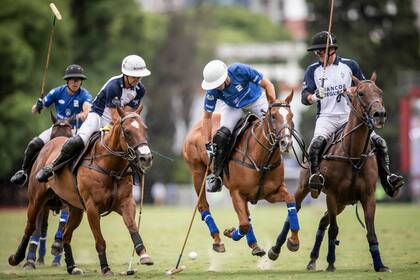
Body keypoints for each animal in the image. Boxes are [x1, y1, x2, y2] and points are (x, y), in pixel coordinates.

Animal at [9, 105, 153, 276]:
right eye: (128, 131)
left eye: (145, 129)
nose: (146, 158)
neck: (110, 167)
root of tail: (51, 142)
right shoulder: (92, 208)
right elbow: (100, 240)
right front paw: (105, 268)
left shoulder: (126, 203)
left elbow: (133, 227)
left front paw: (144, 254)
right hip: (36, 200)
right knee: (31, 227)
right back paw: (17, 258)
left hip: (75, 209)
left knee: (66, 235)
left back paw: (72, 267)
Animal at [183, 91, 298, 256]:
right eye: (273, 116)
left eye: (291, 115)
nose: (286, 143)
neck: (262, 160)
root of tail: (197, 125)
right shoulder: (236, 193)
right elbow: (243, 224)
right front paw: (230, 232)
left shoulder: (271, 193)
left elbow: (291, 199)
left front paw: (294, 241)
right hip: (197, 173)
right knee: (203, 206)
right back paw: (218, 240)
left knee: (246, 215)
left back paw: (255, 245)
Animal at [268, 73, 392, 272]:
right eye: (361, 93)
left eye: (379, 92)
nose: (379, 114)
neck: (353, 154)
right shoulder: (332, 195)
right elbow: (334, 229)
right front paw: (332, 263)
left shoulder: (368, 196)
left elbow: (371, 232)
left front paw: (380, 265)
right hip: (307, 188)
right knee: (295, 210)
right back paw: (277, 248)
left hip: (343, 202)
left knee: (322, 222)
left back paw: (312, 259)